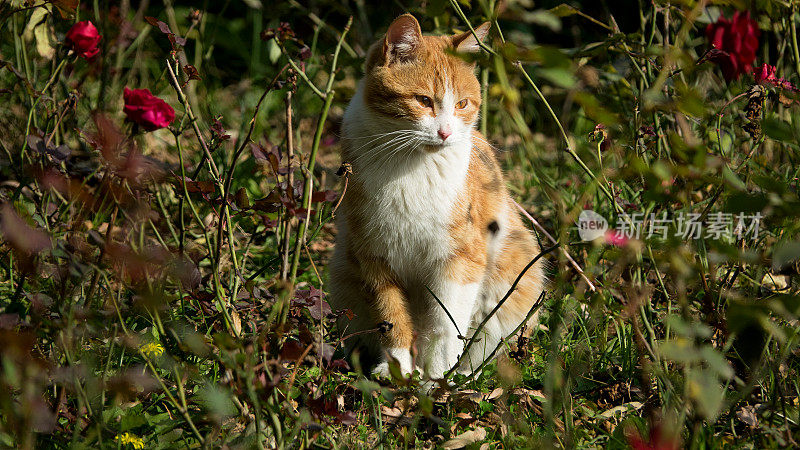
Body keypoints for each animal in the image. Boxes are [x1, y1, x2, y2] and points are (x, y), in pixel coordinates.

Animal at [326, 14, 544, 378]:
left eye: (462, 104)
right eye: (424, 101)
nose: (445, 132)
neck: (409, 166)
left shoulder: (460, 260)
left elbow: (444, 325)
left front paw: (436, 379)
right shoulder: (372, 256)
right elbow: (391, 317)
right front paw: (399, 368)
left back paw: (461, 376)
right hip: (344, 273)